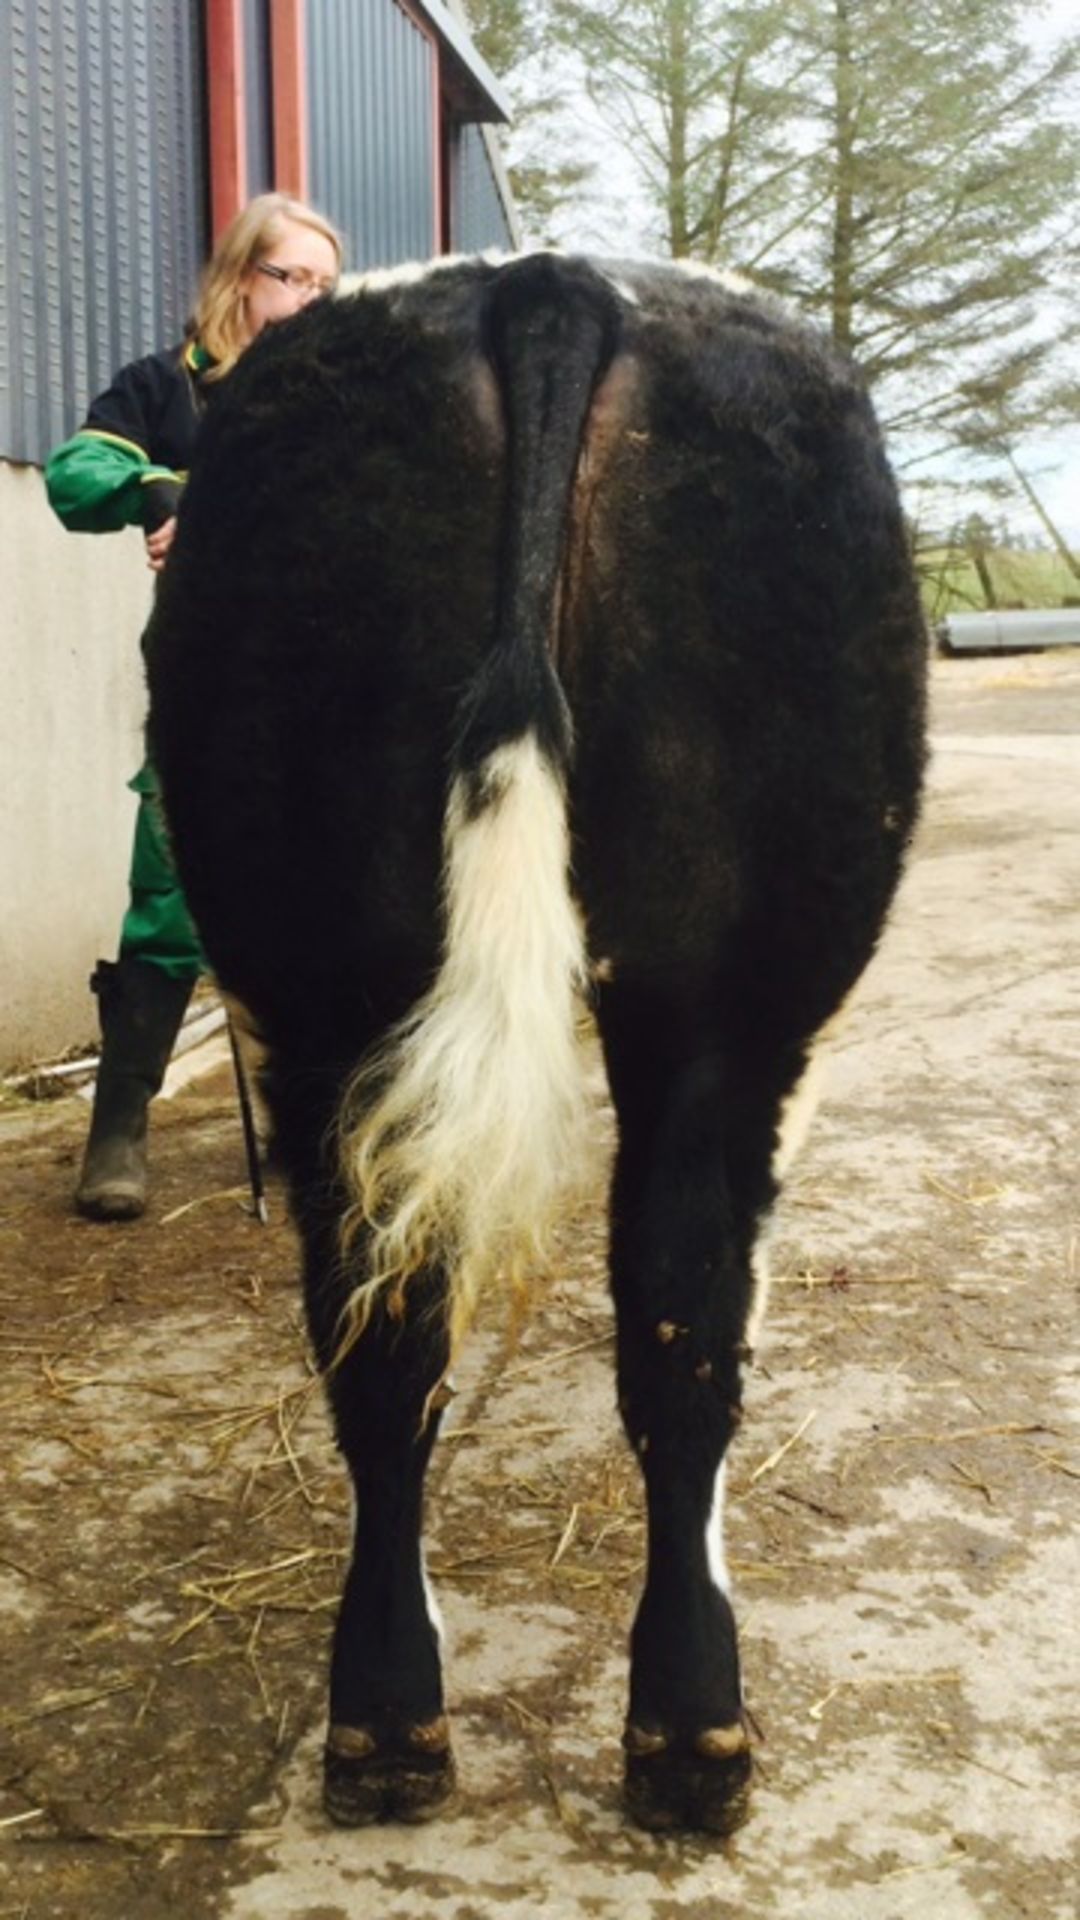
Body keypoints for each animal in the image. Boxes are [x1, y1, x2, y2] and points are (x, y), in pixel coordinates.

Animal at [145, 251, 926, 1827]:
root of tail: (546, 283)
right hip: (744, 997)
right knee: (686, 1320)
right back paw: (690, 1734)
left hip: (335, 982)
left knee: (392, 1329)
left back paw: (395, 1725)